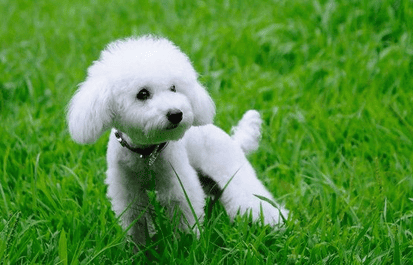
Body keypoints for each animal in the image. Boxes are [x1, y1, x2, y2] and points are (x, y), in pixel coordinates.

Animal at [67, 35, 286, 245]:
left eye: (173, 88)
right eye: (142, 93)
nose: (176, 114)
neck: (146, 153)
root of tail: (234, 141)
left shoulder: (179, 187)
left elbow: (185, 222)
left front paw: (187, 247)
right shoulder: (129, 194)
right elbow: (137, 226)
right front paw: (139, 250)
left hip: (233, 174)